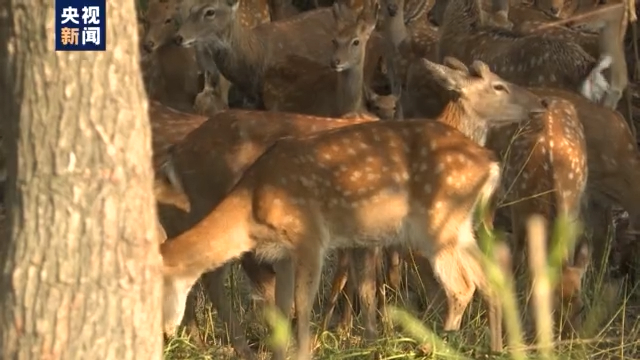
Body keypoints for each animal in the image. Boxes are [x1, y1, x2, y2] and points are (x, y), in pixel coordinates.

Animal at [162, 57, 548, 358]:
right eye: (498, 86)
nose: (541, 103)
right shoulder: (344, 239)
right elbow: (341, 291)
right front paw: (359, 337)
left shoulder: (333, 239)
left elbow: (338, 291)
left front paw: (357, 338)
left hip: (448, 226)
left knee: (480, 278)